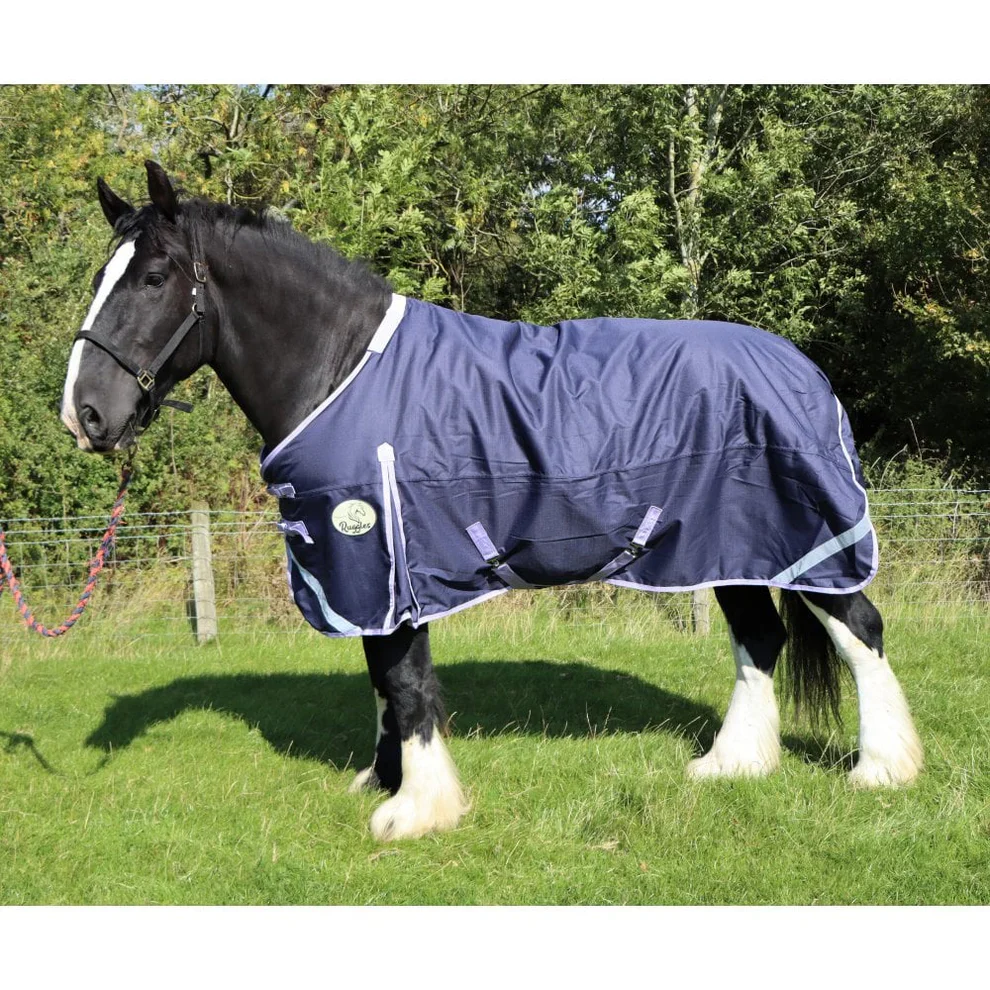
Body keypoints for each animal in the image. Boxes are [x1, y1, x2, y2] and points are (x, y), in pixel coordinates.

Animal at [60, 161, 923, 841]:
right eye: (103, 278)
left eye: (153, 278)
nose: (84, 415)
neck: (343, 371)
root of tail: (802, 366)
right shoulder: (365, 575)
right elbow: (381, 680)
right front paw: (386, 778)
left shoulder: (386, 557)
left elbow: (404, 681)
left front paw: (415, 810)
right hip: (728, 546)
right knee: (759, 639)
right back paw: (732, 764)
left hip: (808, 539)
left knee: (860, 630)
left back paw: (883, 768)